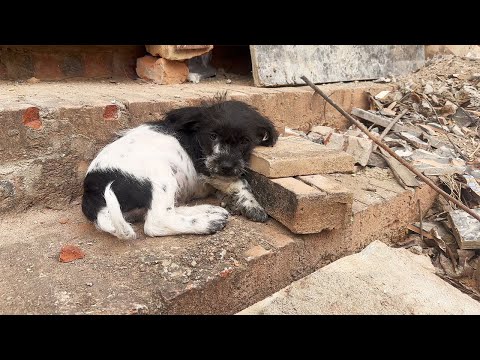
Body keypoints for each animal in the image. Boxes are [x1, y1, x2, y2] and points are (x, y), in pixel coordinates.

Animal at [81, 97, 280, 240]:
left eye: (245, 141)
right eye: (213, 136)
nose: (226, 166)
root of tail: (93, 193)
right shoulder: (206, 168)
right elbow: (240, 181)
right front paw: (252, 204)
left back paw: (209, 210)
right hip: (160, 174)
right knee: (156, 221)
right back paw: (208, 222)